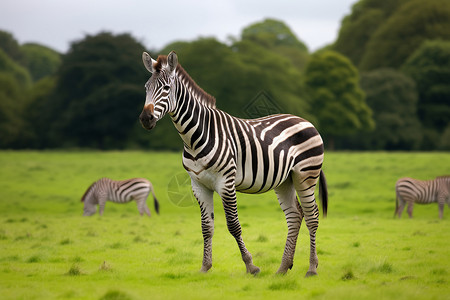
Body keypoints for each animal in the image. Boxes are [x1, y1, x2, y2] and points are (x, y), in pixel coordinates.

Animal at [139, 51, 328, 276]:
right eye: (146, 88)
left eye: (167, 88)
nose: (146, 118)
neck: (194, 137)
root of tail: (304, 120)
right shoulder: (198, 185)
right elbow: (206, 227)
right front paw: (205, 267)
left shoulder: (226, 182)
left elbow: (233, 225)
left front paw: (251, 266)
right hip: (285, 180)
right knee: (294, 216)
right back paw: (283, 268)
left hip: (305, 175)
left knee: (312, 216)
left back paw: (312, 268)